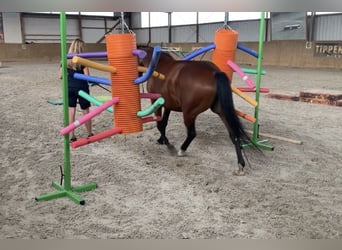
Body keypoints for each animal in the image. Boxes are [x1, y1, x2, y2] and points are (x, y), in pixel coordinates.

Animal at [138, 46, 252, 175]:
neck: (159, 65)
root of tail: (213, 72)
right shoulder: (168, 105)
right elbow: (164, 123)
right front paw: (162, 139)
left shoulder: (156, 102)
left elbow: (159, 124)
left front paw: (166, 142)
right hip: (221, 112)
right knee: (234, 135)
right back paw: (240, 165)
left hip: (189, 114)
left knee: (192, 133)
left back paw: (181, 150)